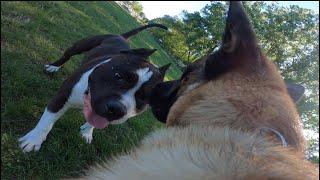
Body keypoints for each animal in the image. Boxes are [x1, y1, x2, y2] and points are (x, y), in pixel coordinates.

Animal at [18, 23, 171, 153]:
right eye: (118, 76)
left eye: (143, 98)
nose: (117, 108)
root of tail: (120, 37)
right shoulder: (62, 96)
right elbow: (47, 122)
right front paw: (34, 140)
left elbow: (96, 122)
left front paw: (87, 131)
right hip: (80, 46)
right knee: (67, 55)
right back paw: (54, 66)